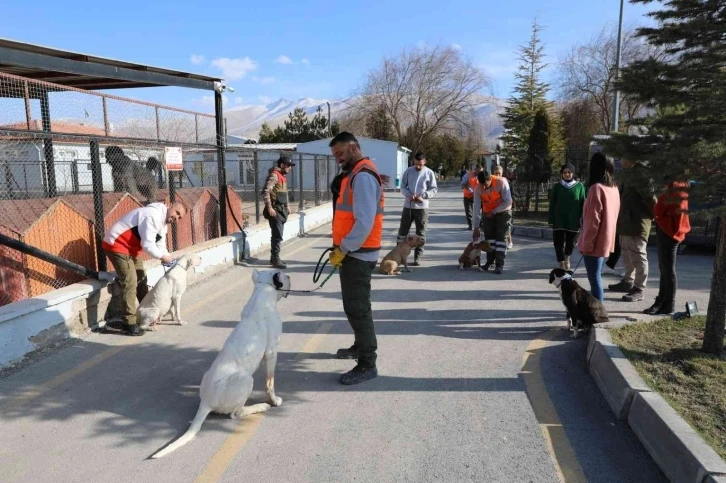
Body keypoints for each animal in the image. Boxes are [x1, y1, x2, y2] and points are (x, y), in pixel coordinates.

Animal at [151, 270, 290, 460]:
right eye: (284, 275)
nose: (289, 276)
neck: (262, 290)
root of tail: (206, 402)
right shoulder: (271, 352)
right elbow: (270, 382)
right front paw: (274, 400)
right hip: (245, 379)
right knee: (236, 413)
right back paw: (260, 406)